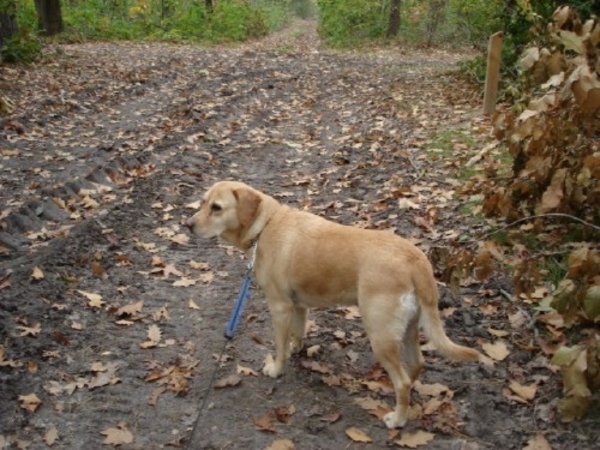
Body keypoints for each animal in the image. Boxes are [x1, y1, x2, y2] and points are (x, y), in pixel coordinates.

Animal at [185, 180, 486, 428]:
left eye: (216, 208)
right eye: (202, 202)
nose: (188, 225)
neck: (265, 224)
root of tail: (416, 259)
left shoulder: (279, 306)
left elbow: (280, 346)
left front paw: (277, 369)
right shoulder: (298, 306)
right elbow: (298, 334)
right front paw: (297, 350)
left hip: (380, 335)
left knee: (401, 383)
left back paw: (397, 419)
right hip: (410, 329)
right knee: (415, 367)